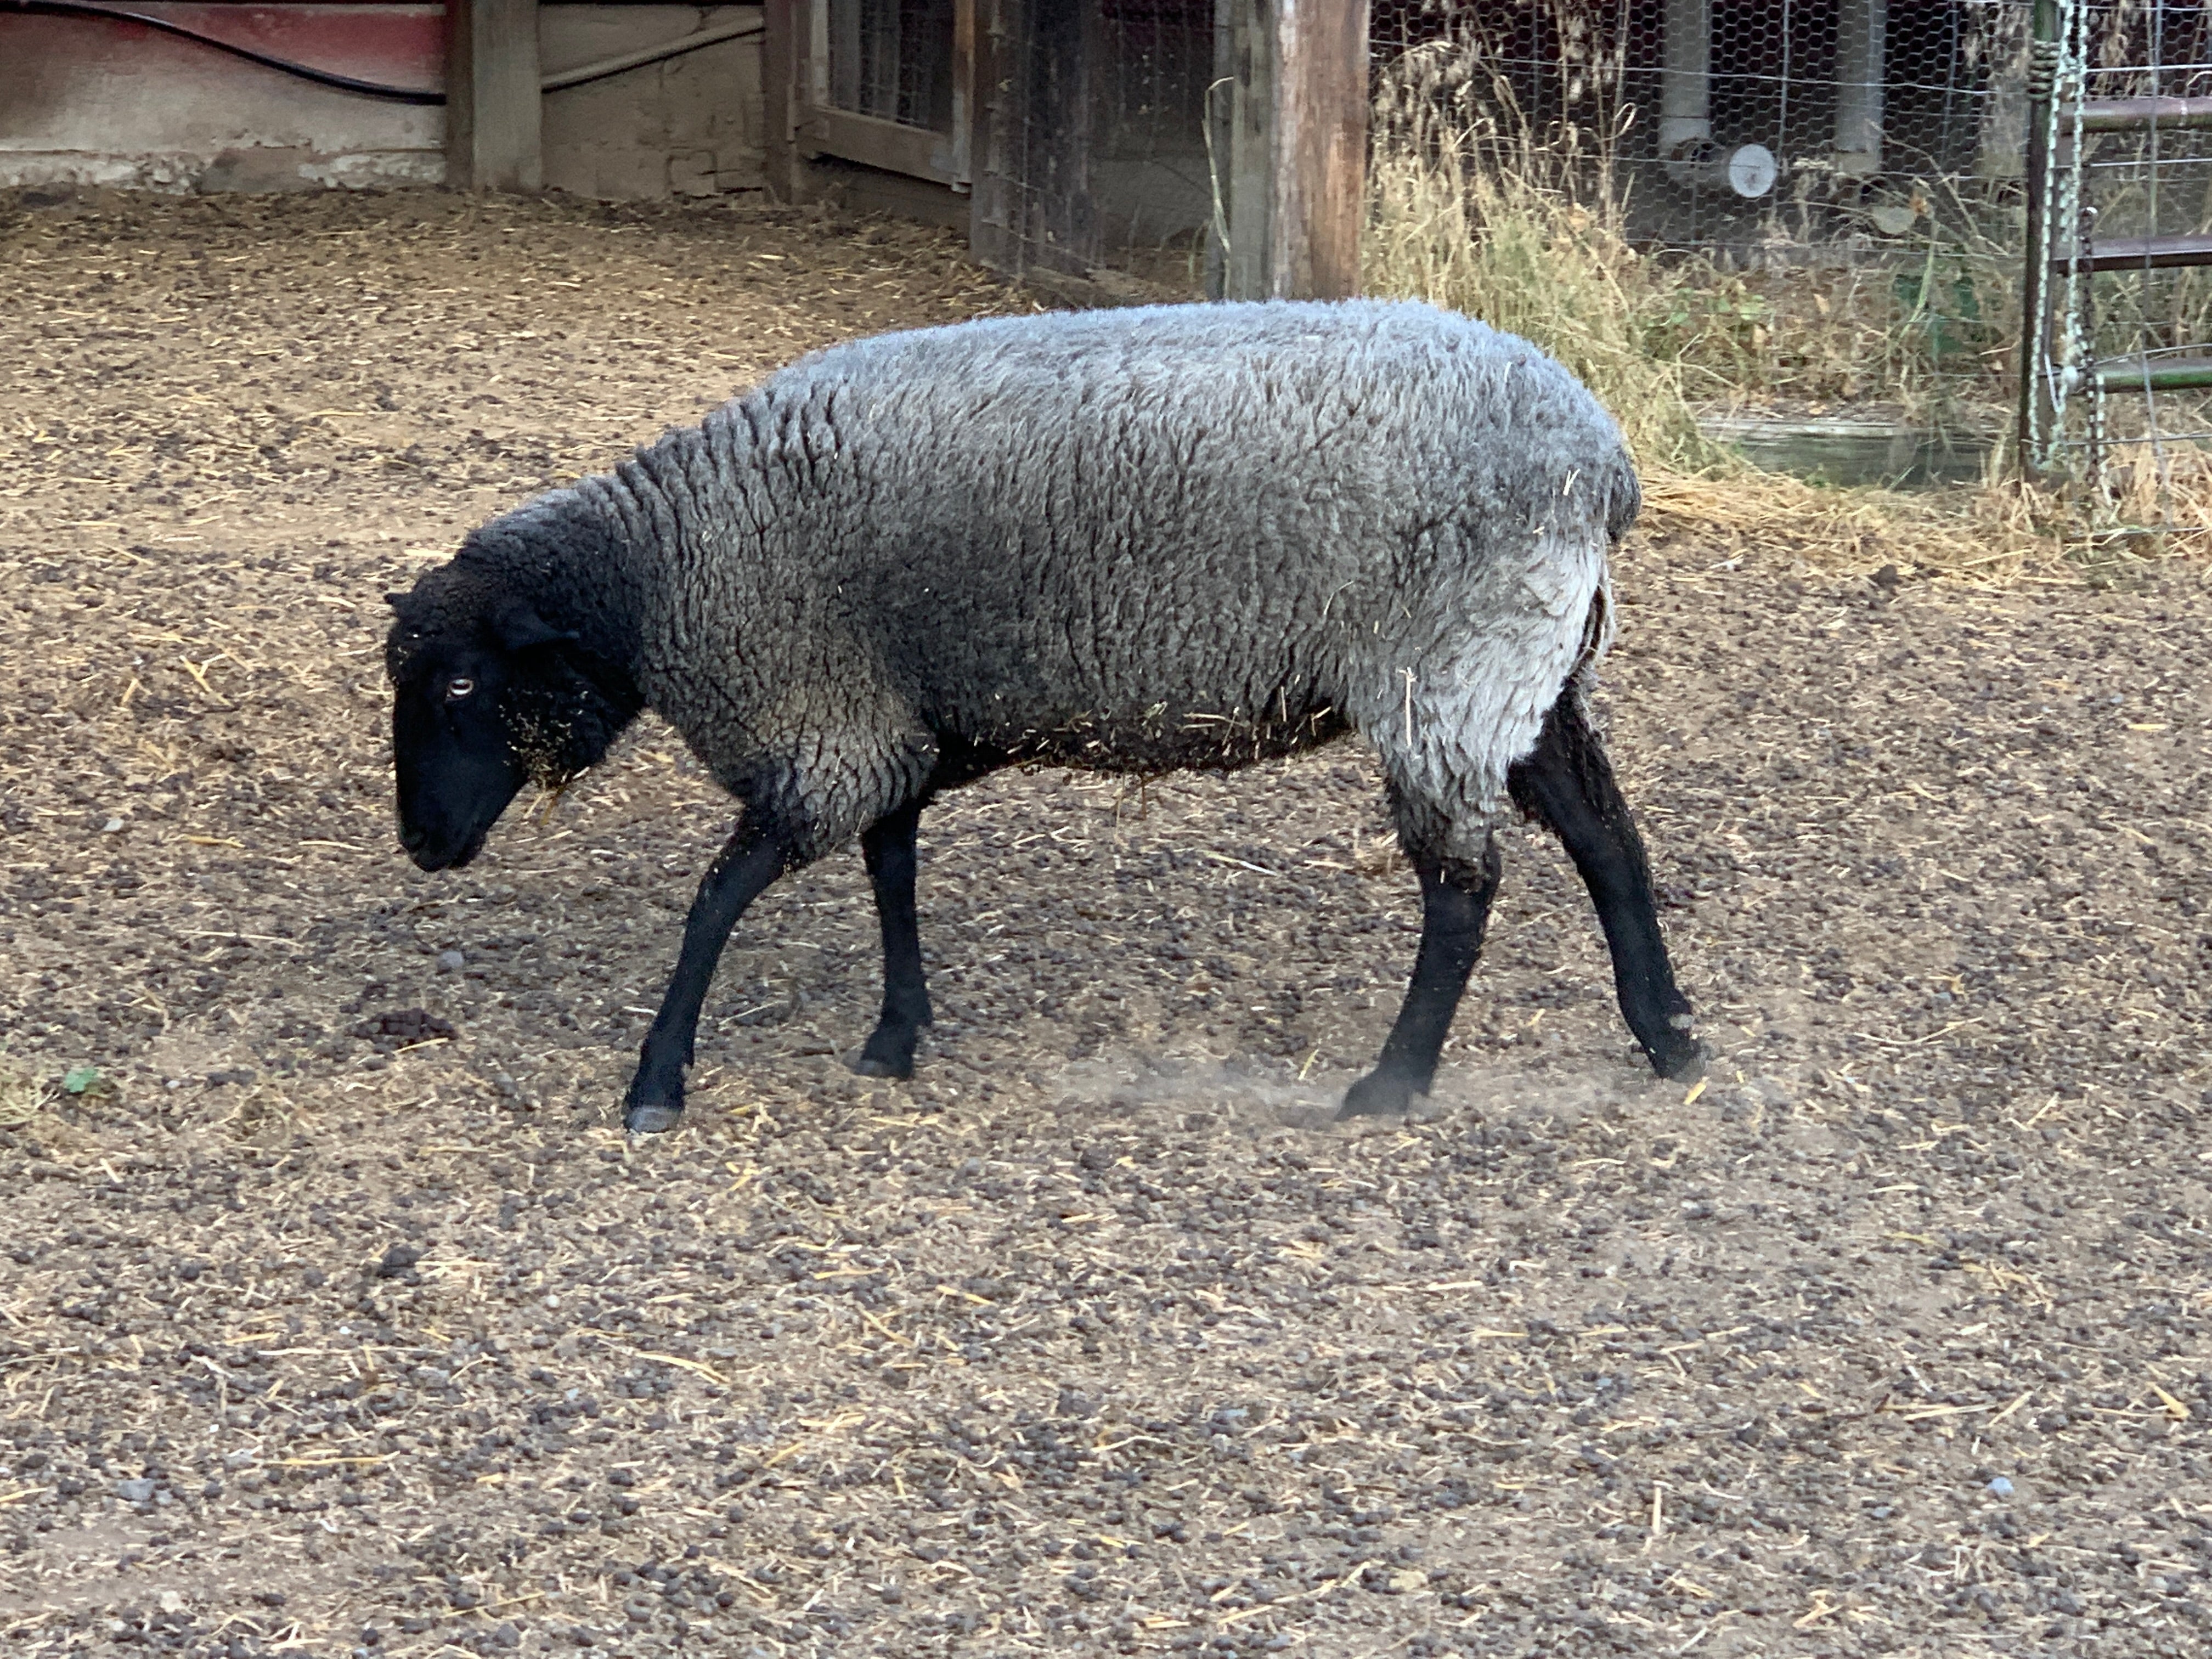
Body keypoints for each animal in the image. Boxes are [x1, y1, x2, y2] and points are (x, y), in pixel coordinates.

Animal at [384, 298, 1702, 1133]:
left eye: (458, 687)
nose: (422, 844)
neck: (665, 571)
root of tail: (1606, 462)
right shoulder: (888, 722)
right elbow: (892, 868)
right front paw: (898, 1034)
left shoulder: (824, 731)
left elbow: (716, 901)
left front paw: (658, 1078)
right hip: (1527, 672)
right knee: (1606, 840)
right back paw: (1670, 1034)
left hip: (1447, 670)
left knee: (1465, 885)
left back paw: (1394, 1081)